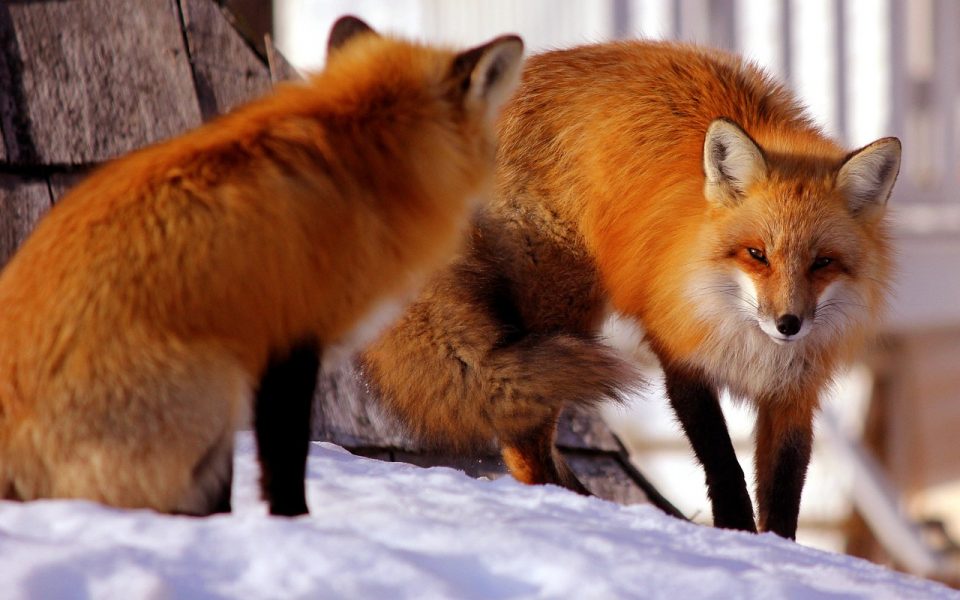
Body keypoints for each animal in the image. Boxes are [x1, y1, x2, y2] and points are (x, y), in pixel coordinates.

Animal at [0, 16, 524, 516]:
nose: (495, 169)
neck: (358, 165)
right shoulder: (291, 337)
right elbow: (285, 462)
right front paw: (295, 527)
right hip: (213, 388)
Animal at [361, 40, 900, 539]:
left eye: (822, 263)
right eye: (756, 254)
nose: (789, 324)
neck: (745, 337)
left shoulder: (795, 390)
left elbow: (786, 489)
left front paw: (777, 549)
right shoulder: (680, 350)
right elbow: (722, 463)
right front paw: (736, 536)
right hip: (562, 310)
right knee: (521, 437)